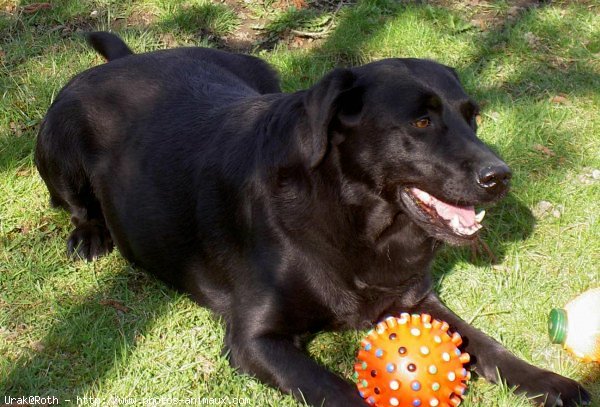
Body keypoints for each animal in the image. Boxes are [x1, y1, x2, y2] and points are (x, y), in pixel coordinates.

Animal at [37, 32, 592, 407]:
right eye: (421, 121)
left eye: (472, 117)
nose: (500, 176)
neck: (357, 221)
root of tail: (128, 58)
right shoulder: (255, 341)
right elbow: (340, 391)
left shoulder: (416, 299)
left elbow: (487, 345)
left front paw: (550, 382)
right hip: (58, 141)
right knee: (74, 202)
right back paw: (89, 235)